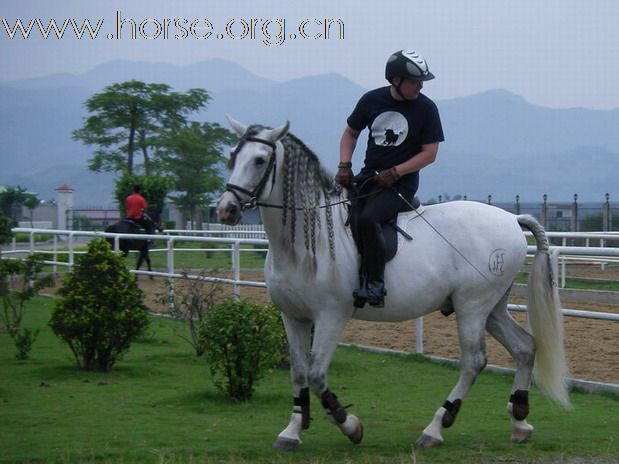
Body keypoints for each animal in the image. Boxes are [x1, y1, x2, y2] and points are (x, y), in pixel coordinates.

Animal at [218, 118, 572, 450]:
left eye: (260, 160)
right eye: (233, 156)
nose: (226, 209)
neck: (309, 239)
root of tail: (512, 218)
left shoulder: (331, 316)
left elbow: (317, 374)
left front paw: (350, 426)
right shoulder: (293, 316)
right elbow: (299, 371)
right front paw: (291, 431)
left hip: (472, 306)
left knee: (474, 362)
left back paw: (435, 428)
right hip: (492, 307)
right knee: (524, 347)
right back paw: (519, 422)